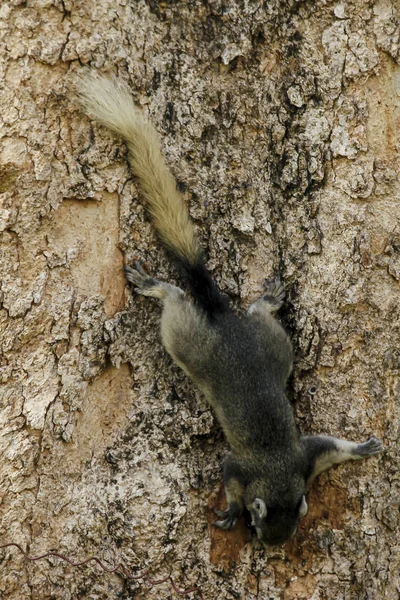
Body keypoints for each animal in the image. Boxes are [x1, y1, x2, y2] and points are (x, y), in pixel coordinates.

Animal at [76, 72, 382, 548]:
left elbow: (334, 448)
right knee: (177, 302)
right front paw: (233, 509)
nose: (272, 548)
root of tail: (223, 319)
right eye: (259, 526)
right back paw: (158, 287)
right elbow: (231, 477)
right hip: (189, 339)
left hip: (270, 344)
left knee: (250, 314)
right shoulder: (243, 465)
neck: (278, 473)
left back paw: (265, 299)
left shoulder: (307, 457)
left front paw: (362, 448)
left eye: (292, 527)